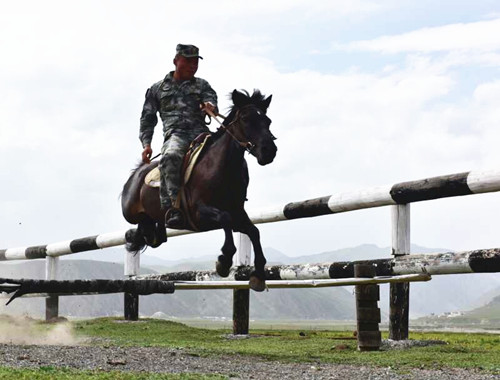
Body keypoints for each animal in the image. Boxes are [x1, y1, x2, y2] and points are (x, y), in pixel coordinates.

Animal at [121, 89, 278, 290]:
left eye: (268, 121)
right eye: (245, 118)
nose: (269, 151)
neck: (221, 167)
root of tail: (137, 173)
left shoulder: (238, 212)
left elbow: (254, 231)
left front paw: (258, 272)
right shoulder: (200, 213)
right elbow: (225, 219)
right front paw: (224, 260)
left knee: (153, 235)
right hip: (131, 213)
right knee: (143, 229)